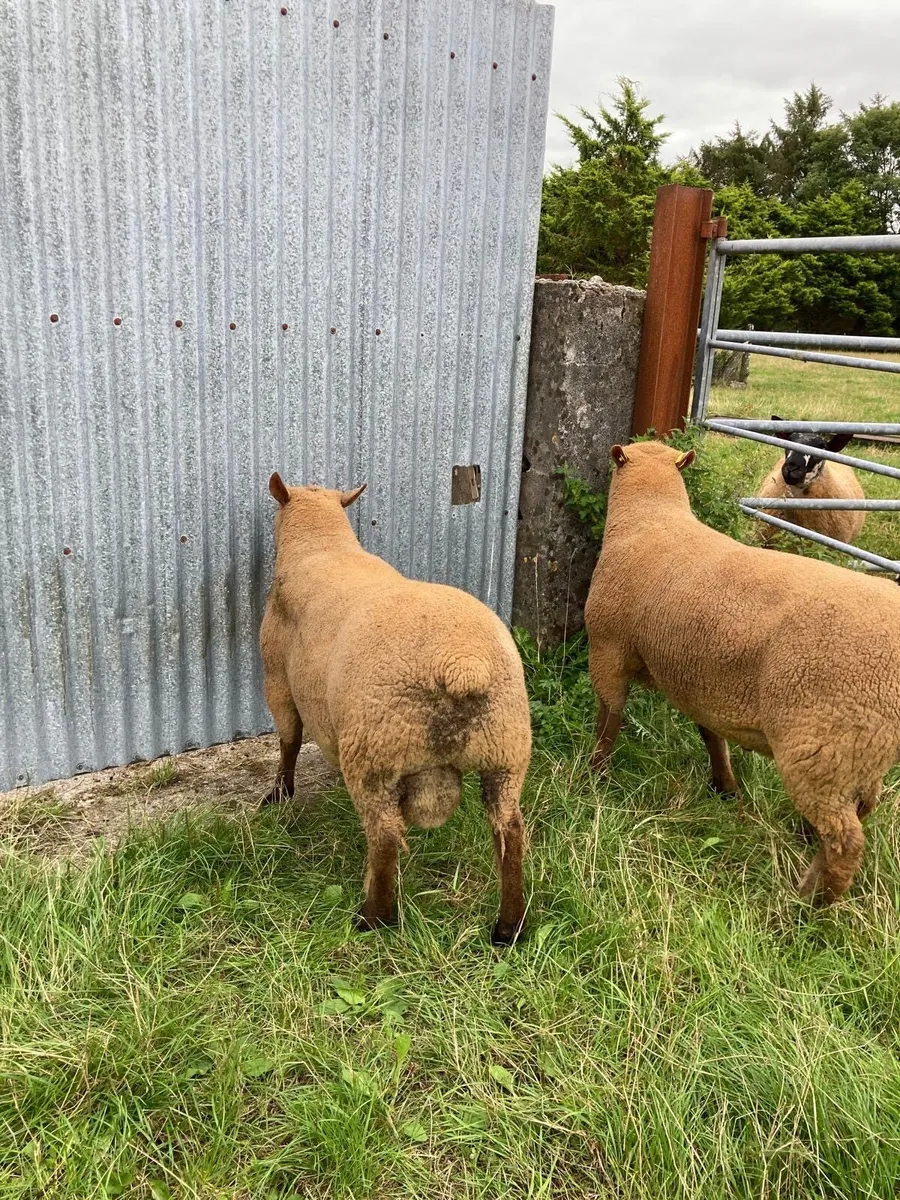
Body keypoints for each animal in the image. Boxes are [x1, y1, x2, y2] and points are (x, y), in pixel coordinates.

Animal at [259, 474, 532, 944]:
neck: (322, 545)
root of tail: (462, 664)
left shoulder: (277, 677)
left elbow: (289, 740)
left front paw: (279, 794)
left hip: (376, 752)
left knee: (384, 837)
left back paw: (374, 918)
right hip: (506, 750)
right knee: (509, 833)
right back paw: (507, 928)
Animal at [584, 439, 900, 903]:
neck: (651, 518)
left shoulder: (607, 648)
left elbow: (609, 718)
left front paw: (595, 777)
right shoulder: (700, 677)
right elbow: (711, 735)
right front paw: (724, 786)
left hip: (822, 746)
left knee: (846, 840)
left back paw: (808, 904)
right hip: (862, 751)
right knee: (858, 813)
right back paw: (807, 859)